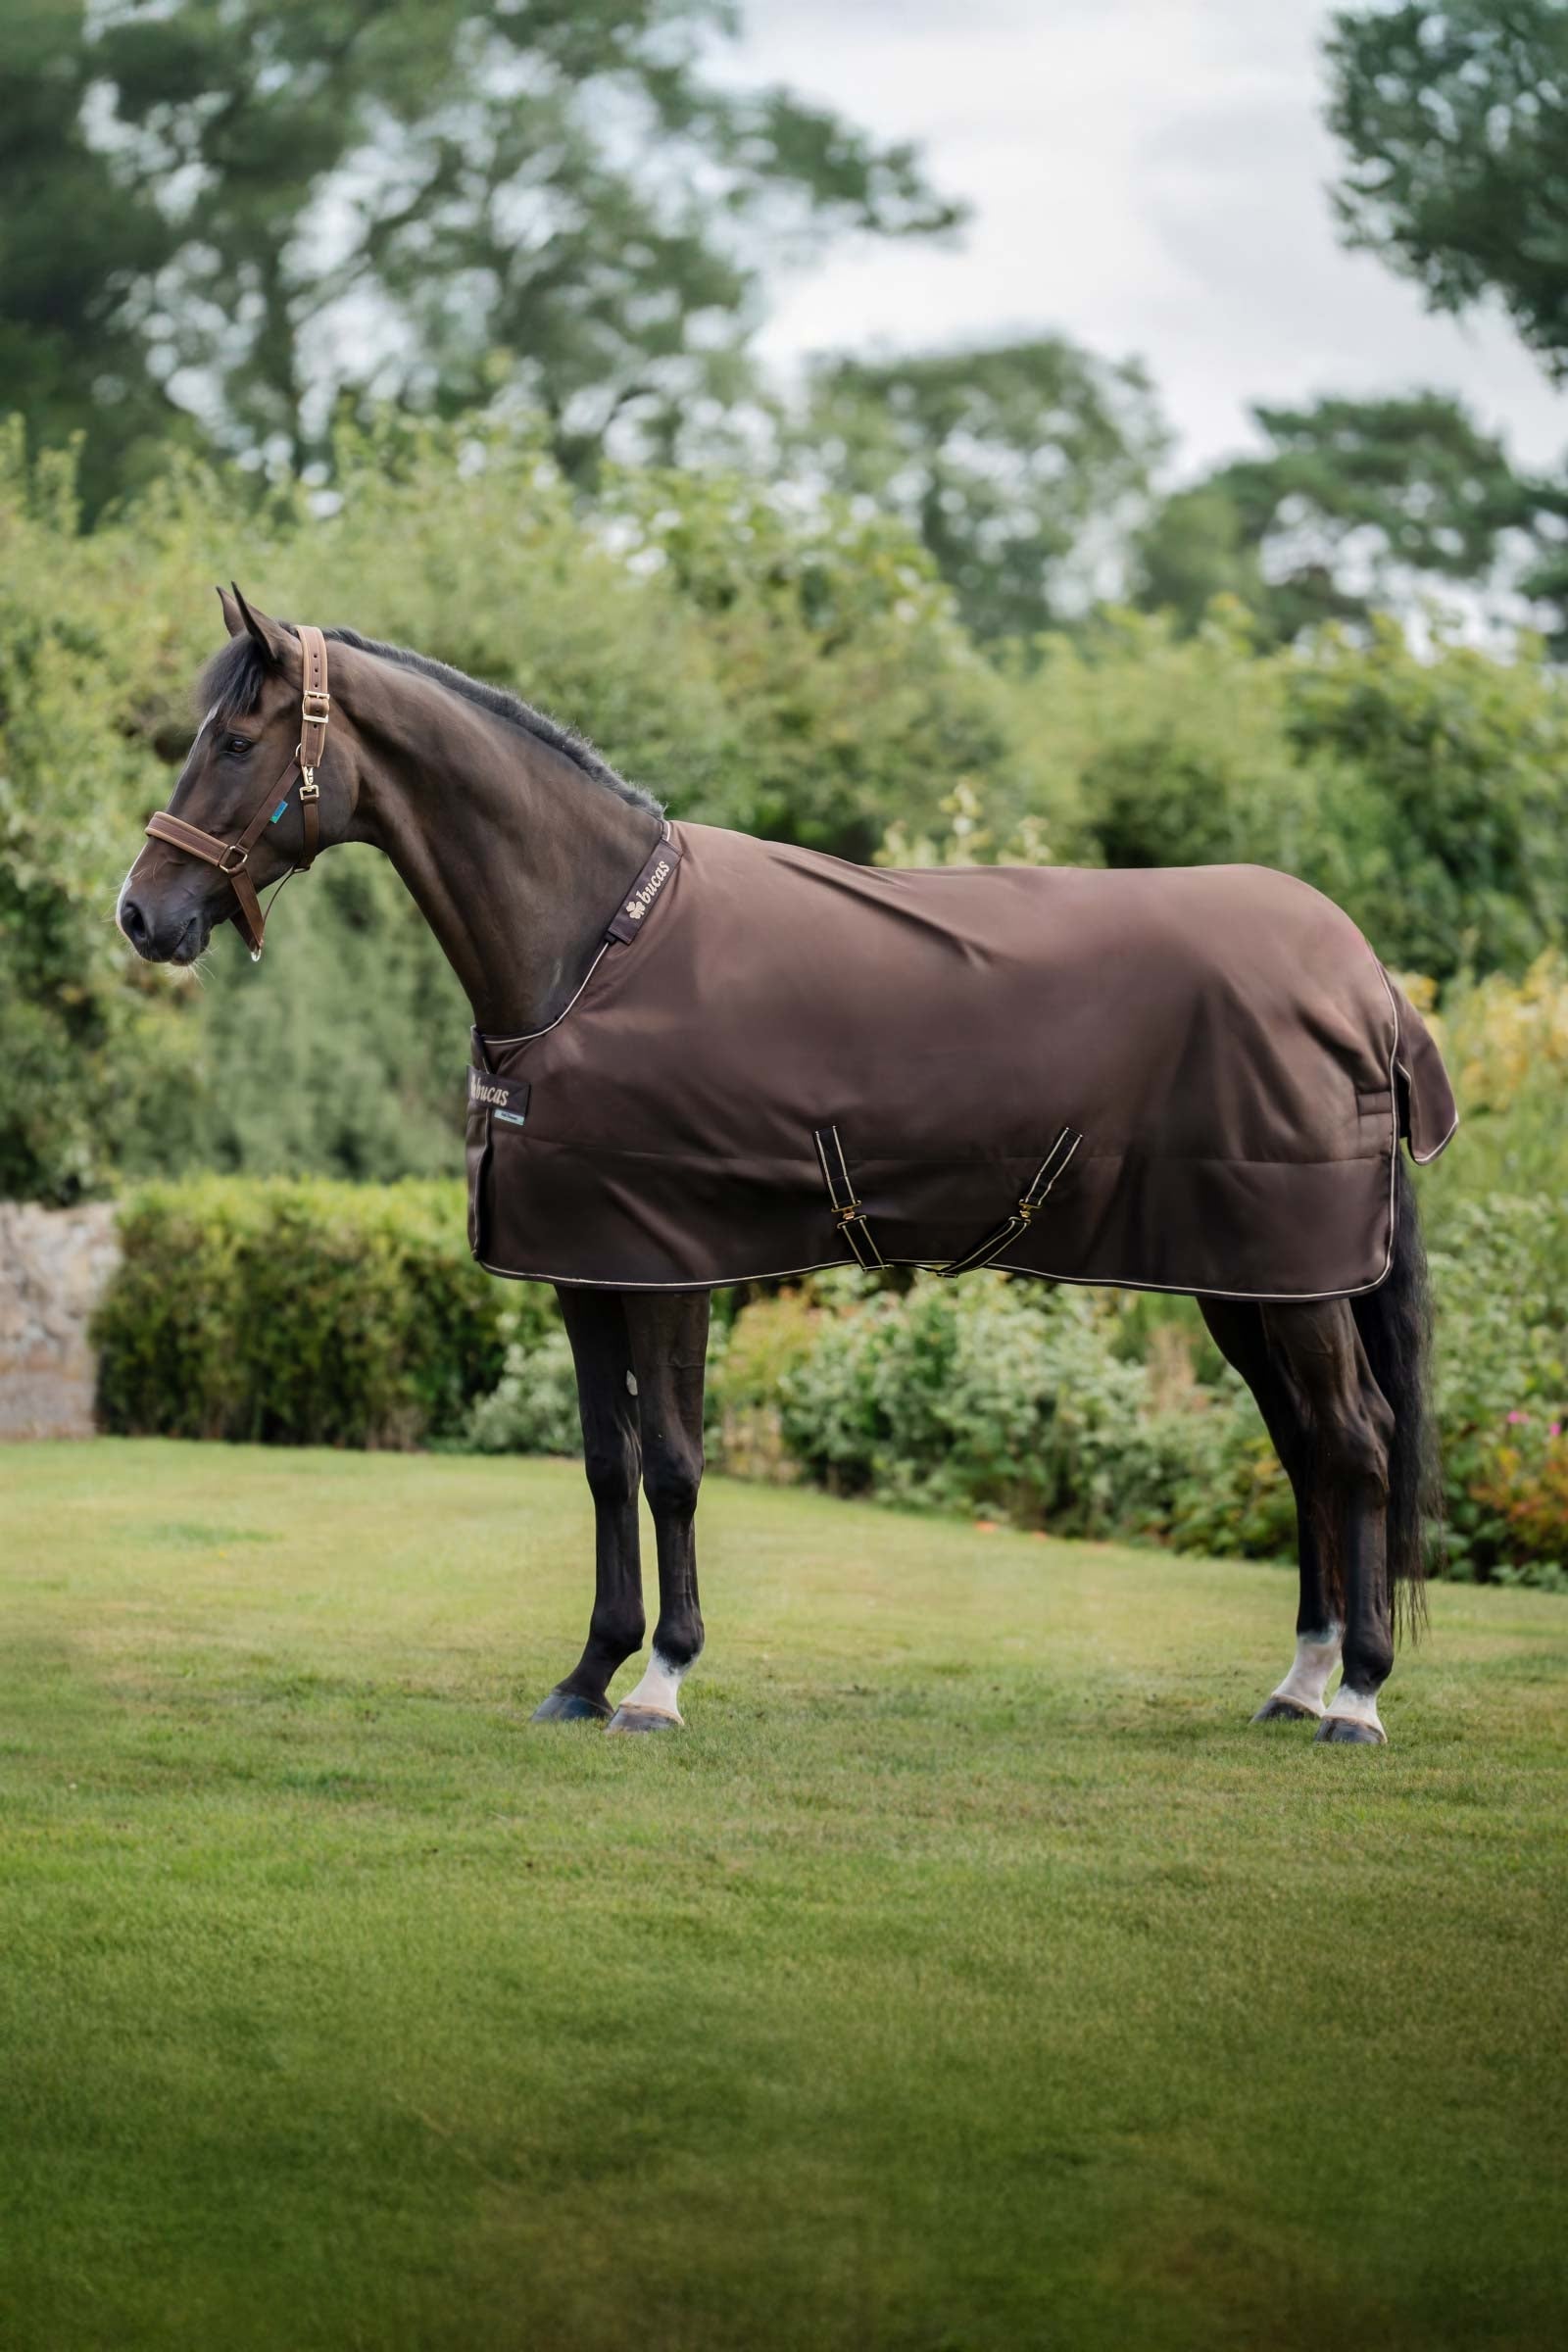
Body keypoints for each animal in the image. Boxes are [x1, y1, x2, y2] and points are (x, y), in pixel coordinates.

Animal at [117, 588, 1455, 1748]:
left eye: (235, 741)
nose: (141, 916)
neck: (593, 944)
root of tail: (1368, 981)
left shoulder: (670, 1269)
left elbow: (672, 1466)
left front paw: (660, 1682)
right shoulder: (583, 1270)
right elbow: (603, 1466)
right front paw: (586, 1673)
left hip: (1296, 1282)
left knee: (1355, 1441)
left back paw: (1357, 1698)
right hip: (1251, 1283)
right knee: (1304, 1448)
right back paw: (1298, 1680)